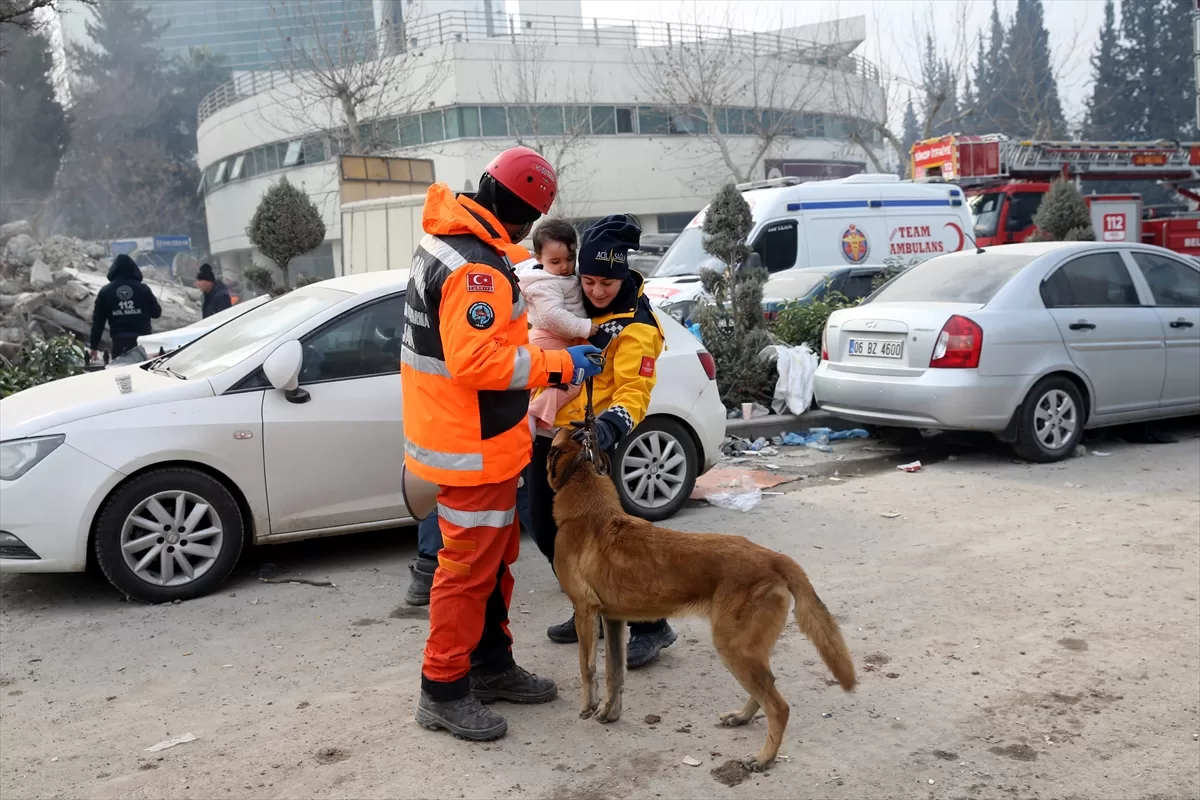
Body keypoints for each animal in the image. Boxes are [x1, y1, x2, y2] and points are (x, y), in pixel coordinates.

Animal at [549, 429, 859, 772]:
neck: (591, 510)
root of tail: (771, 557)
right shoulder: (614, 620)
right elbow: (614, 672)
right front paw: (610, 712)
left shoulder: (585, 611)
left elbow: (587, 667)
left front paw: (588, 706)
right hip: (748, 649)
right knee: (768, 686)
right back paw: (742, 717)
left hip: (733, 647)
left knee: (779, 707)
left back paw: (764, 757)